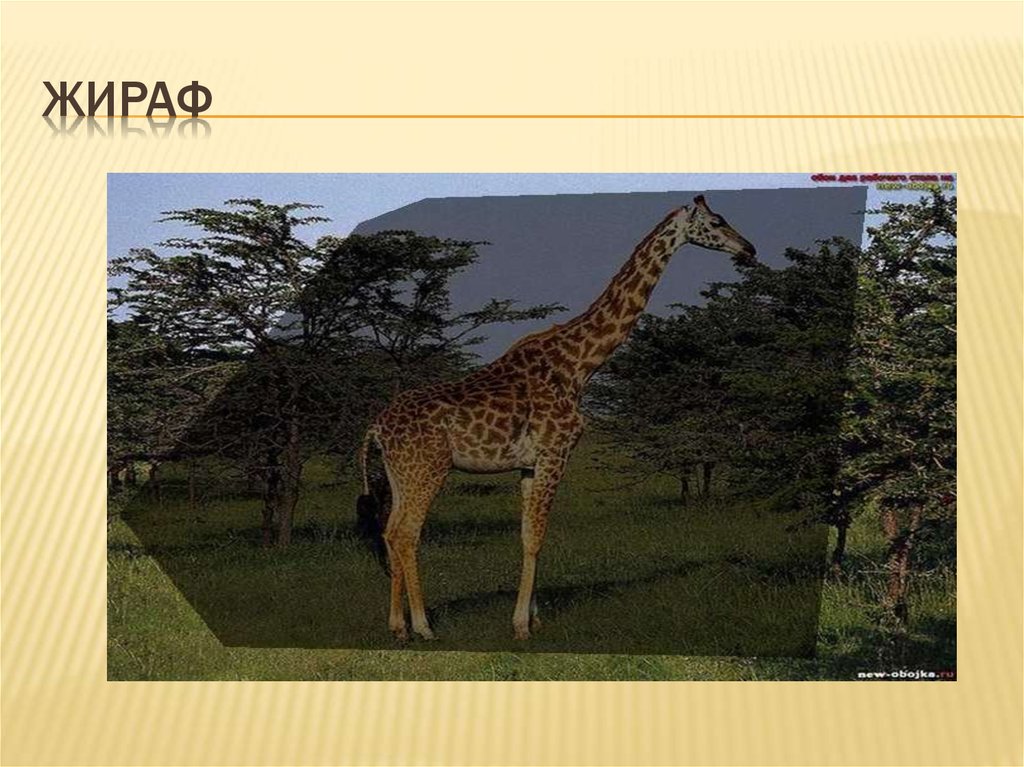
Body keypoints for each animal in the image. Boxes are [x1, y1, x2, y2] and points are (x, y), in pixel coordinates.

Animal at [356, 195, 757, 641]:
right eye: (717, 222)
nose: (749, 250)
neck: (579, 364)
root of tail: (376, 428)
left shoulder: (530, 463)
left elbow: (527, 535)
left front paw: (535, 617)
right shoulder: (556, 451)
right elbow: (537, 535)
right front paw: (520, 626)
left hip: (400, 473)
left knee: (390, 530)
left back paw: (397, 626)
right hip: (428, 467)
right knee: (407, 533)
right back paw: (424, 627)